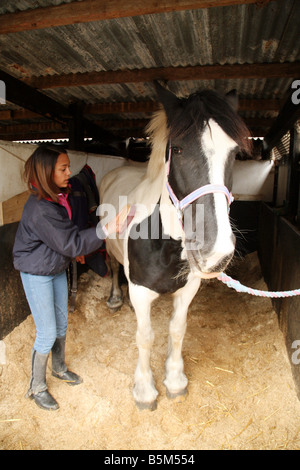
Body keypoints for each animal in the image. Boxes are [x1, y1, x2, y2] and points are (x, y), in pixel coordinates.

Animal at [99, 82, 251, 410]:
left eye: (234, 153)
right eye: (178, 149)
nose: (215, 251)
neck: (165, 243)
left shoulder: (188, 288)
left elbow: (177, 330)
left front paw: (175, 380)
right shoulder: (140, 292)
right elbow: (145, 337)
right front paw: (145, 390)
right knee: (114, 267)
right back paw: (116, 298)